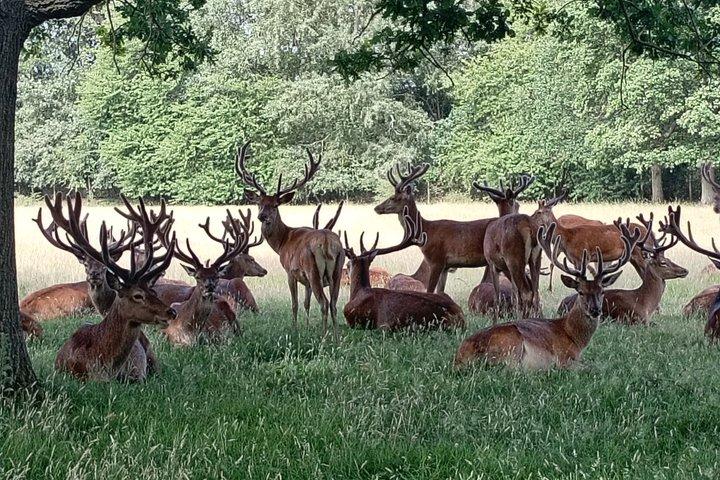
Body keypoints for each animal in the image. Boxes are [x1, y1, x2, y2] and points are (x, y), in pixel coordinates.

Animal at [235, 141, 345, 340]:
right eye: (259, 203)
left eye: (275, 205)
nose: (262, 217)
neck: (282, 242)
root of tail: (326, 242)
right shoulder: (306, 282)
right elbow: (306, 303)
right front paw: (307, 327)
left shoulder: (290, 271)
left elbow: (294, 304)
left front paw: (295, 329)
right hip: (338, 269)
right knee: (333, 303)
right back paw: (336, 336)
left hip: (313, 270)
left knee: (324, 303)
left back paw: (324, 337)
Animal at [375, 162, 534, 293]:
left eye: (394, 198)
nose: (377, 208)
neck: (425, 231)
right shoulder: (446, 266)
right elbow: (440, 292)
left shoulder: (436, 260)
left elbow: (430, 291)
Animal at [454, 222, 638, 369]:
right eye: (580, 292)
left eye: (602, 291)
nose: (595, 310)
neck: (573, 336)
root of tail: (461, 355)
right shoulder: (565, 357)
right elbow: (593, 367)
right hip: (511, 345)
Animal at [557, 214, 688, 324]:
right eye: (663, 263)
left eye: (669, 259)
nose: (684, 270)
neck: (644, 302)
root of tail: (561, 305)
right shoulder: (634, 318)